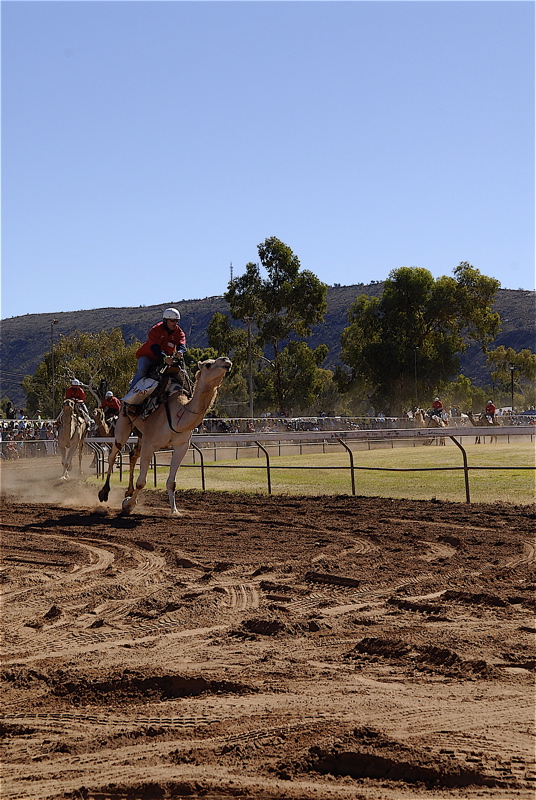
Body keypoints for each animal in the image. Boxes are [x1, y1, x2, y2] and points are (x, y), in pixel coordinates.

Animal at [97, 354, 231, 516]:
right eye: (208, 364)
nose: (226, 360)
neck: (177, 415)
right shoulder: (150, 444)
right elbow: (141, 482)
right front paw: (128, 506)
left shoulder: (182, 445)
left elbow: (171, 482)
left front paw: (175, 511)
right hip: (123, 423)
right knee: (113, 453)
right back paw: (104, 492)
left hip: (141, 435)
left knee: (133, 454)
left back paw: (128, 491)